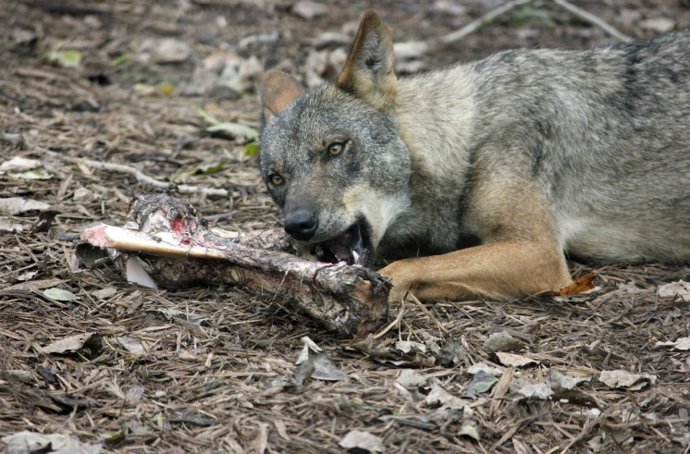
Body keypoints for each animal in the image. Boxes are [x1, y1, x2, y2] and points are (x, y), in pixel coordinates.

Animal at [258, 11, 690, 302]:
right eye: (276, 179)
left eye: (335, 148)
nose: (297, 225)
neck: (467, 142)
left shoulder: (537, 252)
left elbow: (406, 268)